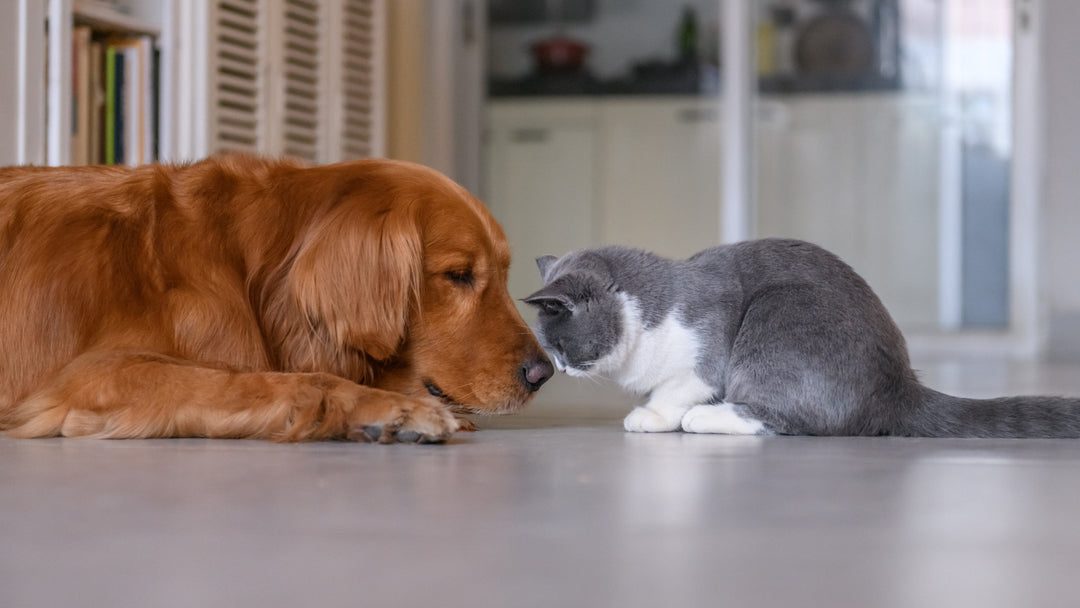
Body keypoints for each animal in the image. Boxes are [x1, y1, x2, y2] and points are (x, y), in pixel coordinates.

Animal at [0, 154, 557, 444]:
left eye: (504, 274)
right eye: (458, 275)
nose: (543, 373)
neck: (246, 267)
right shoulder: (93, 374)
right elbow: (273, 381)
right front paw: (390, 410)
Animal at [522, 238, 1080, 438]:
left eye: (561, 345)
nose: (560, 368)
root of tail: (900, 385)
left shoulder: (708, 351)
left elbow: (678, 387)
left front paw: (653, 416)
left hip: (774, 323)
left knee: (789, 420)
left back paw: (705, 419)